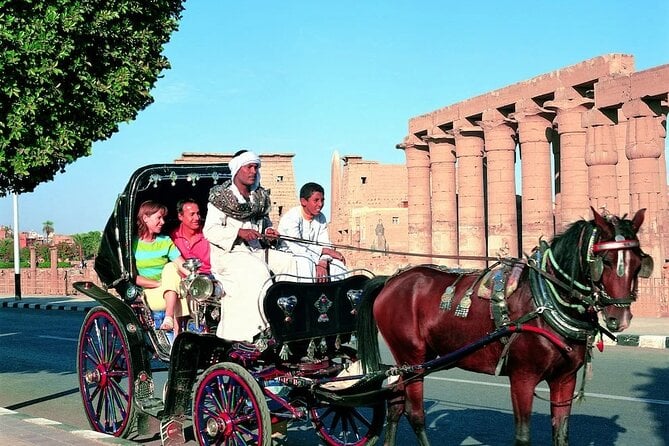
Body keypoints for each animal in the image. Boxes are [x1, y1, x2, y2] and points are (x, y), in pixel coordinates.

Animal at [358, 207, 648, 444]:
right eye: (605, 261)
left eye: (638, 262)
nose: (619, 318)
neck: (544, 301)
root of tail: (390, 280)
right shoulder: (522, 377)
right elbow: (523, 435)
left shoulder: (565, 378)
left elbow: (561, 432)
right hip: (412, 356)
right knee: (415, 413)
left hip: (418, 359)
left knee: (395, 403)